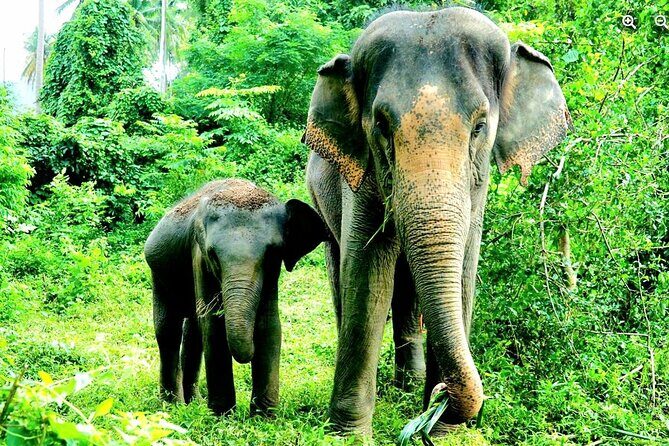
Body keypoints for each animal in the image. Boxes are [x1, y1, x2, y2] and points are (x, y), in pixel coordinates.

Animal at [144, 179, 327, 415]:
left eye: (272, 252)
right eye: (213, 254)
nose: (248, 355)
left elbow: (269, 323)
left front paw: (264, 417)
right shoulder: (198, 257)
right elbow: (214, 324)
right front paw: (222, 415)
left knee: (193, 331)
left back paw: (193, 403)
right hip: (159, 275)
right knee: (168, 330)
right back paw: (173, 407)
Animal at [303, 7, 571, 435]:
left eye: (480, 126)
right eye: (381, 125)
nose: (443, 393)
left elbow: (462, 271)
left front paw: (444, 430)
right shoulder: (362, 176)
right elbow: (367, 274)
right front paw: (347, 433)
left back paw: (408, 384)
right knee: (341, 269)